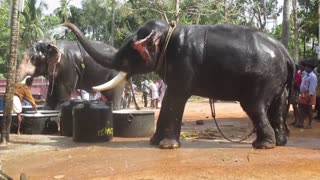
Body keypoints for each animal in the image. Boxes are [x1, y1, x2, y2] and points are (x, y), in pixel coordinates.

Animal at [64, 19, 296, 149]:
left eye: (129, 53)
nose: (65, 24)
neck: (169, 32)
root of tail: (285, 52)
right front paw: (154, 142)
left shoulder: (183, 61)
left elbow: (174, 98)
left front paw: (166, 146)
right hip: (278, 83)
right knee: (277, 107)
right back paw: (280, 143)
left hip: (262, 79)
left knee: (254, 106)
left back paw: (263, 146)